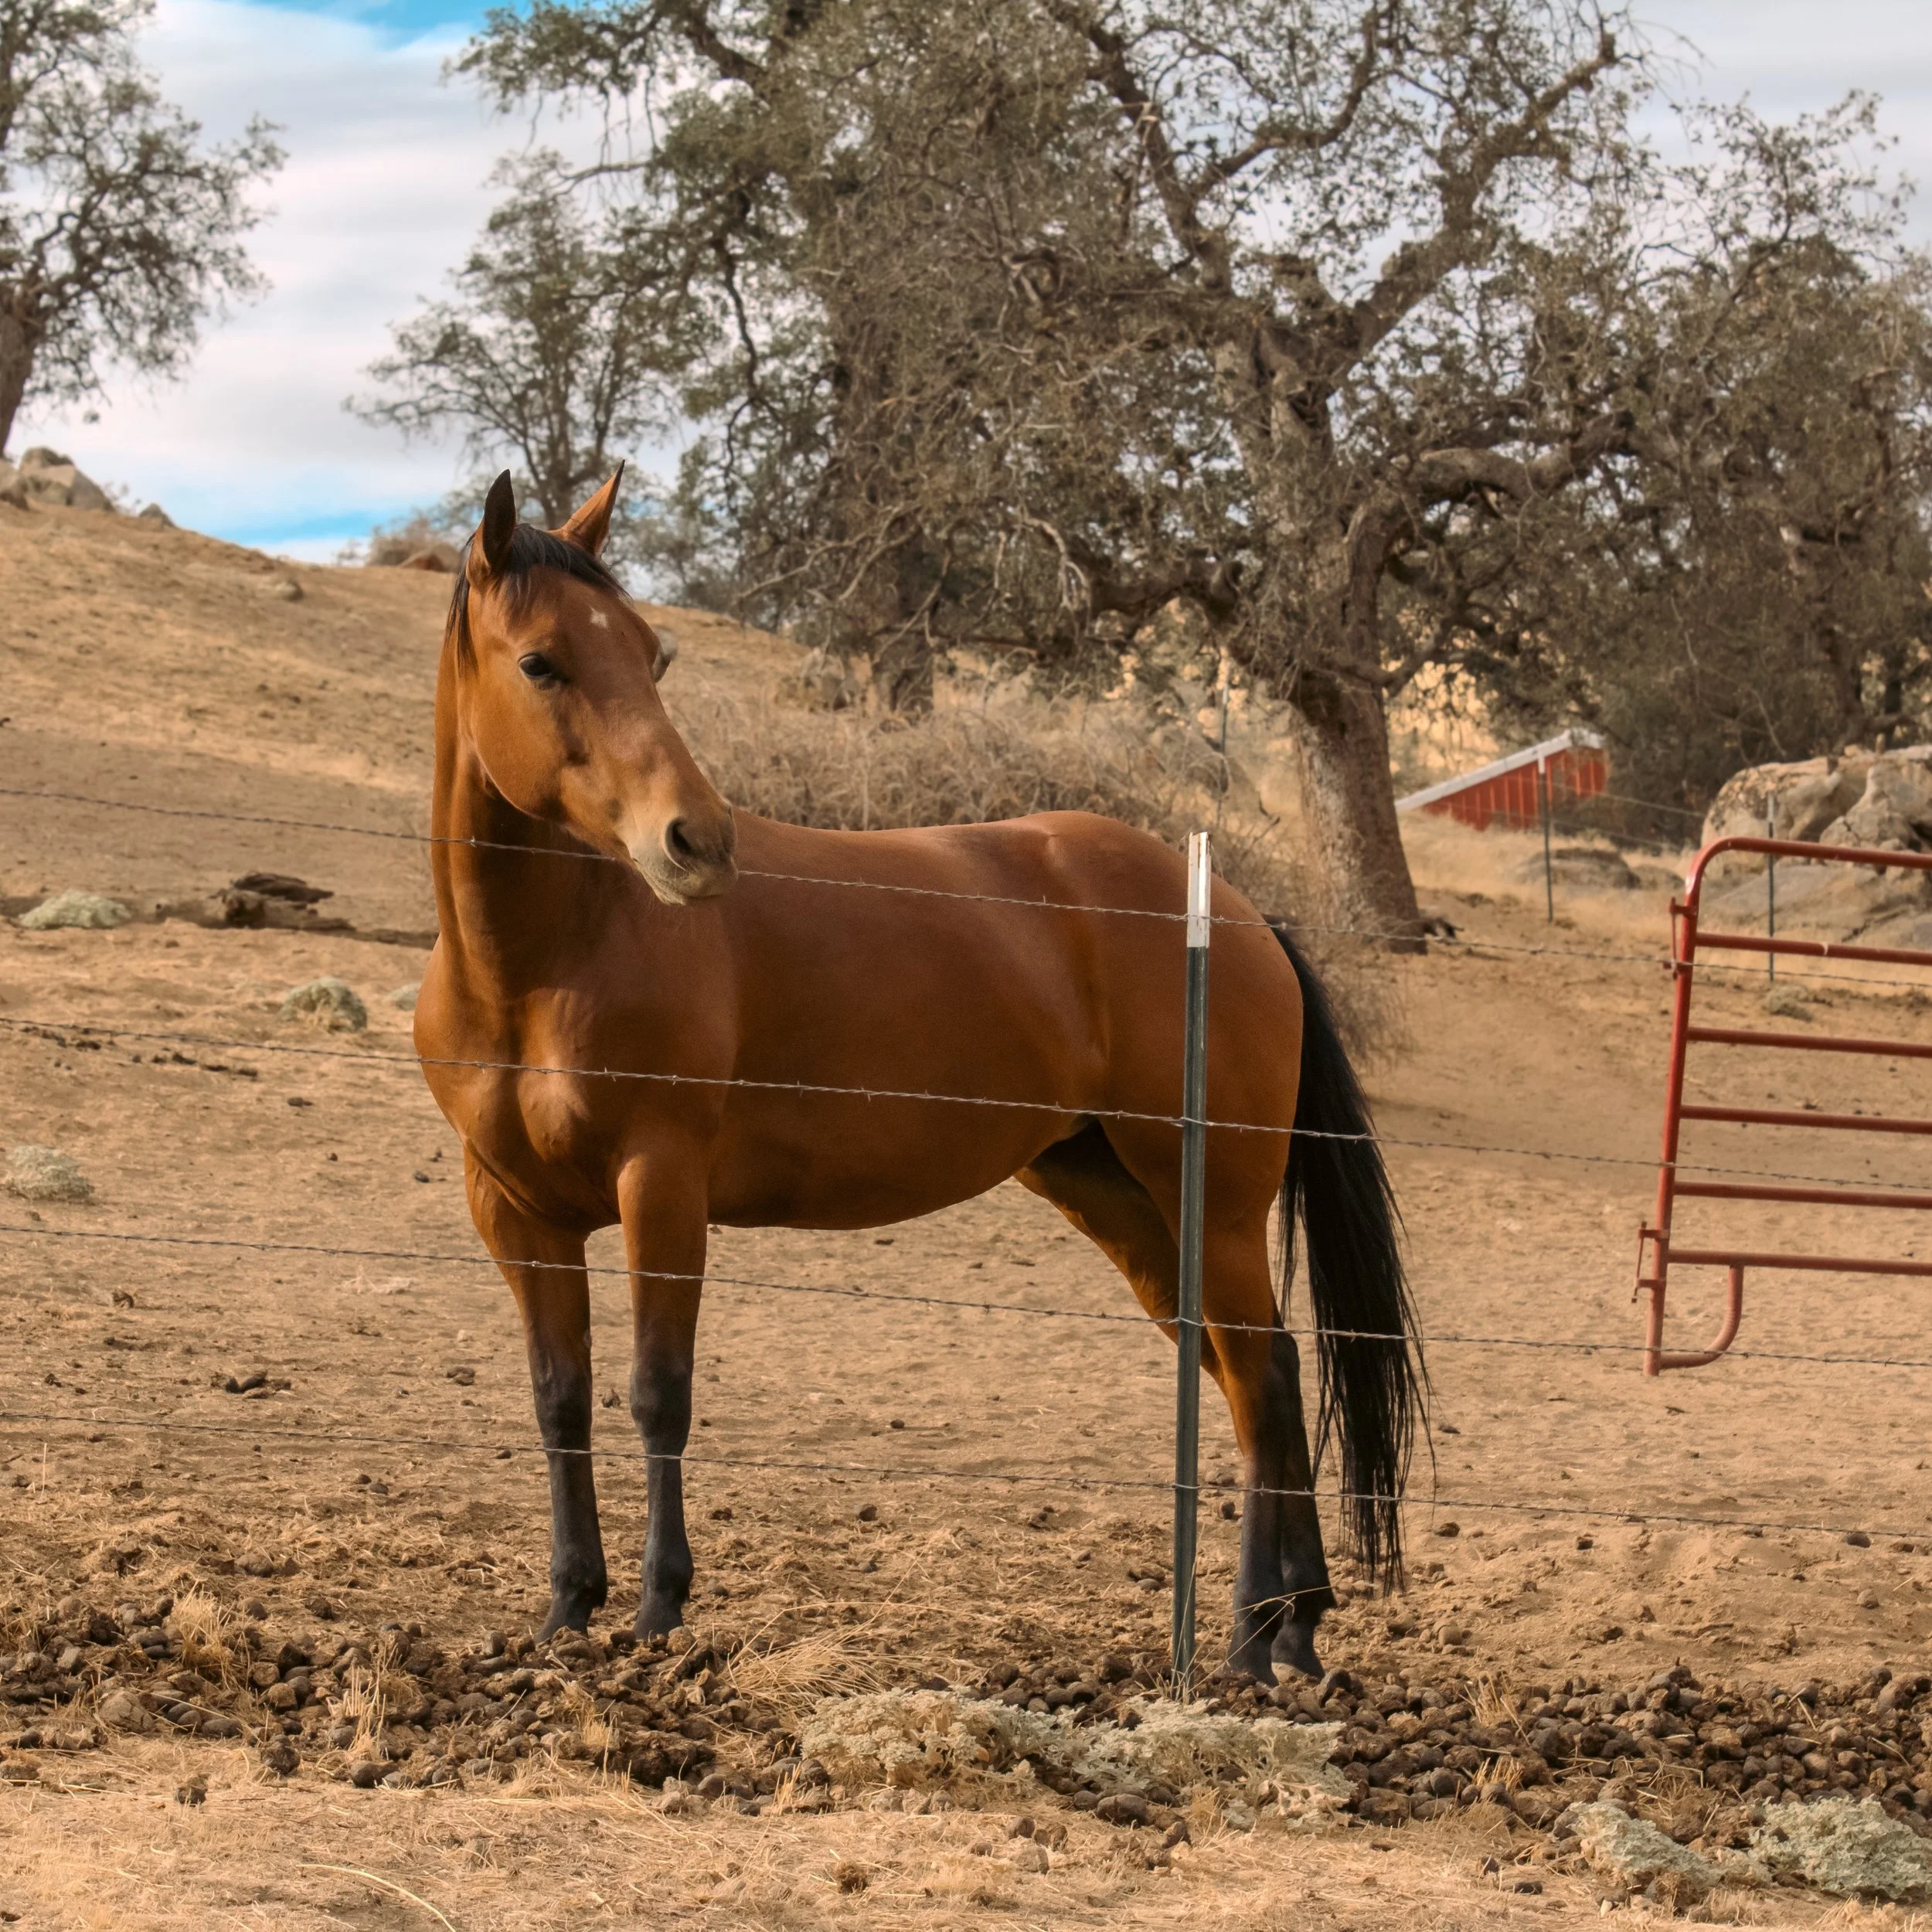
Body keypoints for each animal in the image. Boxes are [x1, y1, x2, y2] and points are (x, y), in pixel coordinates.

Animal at [413, 469, 1424, 1683]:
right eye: (541, 663)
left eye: (653, 655)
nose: (697, 842)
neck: (551, 963)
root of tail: (1236, 914)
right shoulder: (516, 1213)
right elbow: (559, 1402)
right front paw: (567, 1608)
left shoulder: (661, 1188)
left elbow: (658, 1395)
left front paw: (659, 1610)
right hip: (1122, 1203)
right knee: (1244, 1375)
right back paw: (1296, 1622)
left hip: (1212, 1209)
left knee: (1263, 1383)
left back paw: (1251, 1636)